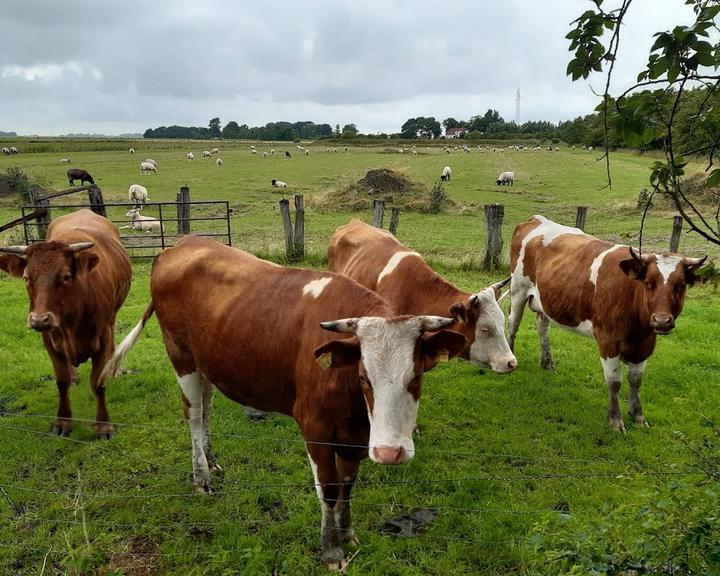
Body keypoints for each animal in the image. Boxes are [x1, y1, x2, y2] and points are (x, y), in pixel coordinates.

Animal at [0, 209, 132, 438]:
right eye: (26, 278)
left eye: (65, 276)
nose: (39, 319)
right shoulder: (49, 339)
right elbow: (61, 382)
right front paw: (62, 422)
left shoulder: (103, 336)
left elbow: (98, 382)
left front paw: (104, 425)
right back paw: (73, 376)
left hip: (114, 316)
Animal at [102, 234, 466, 568]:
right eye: (364, 377)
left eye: (416, 376)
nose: (390, 453)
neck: (354, 405)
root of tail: (180, 244)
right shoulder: (315, 428)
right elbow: (329, 489)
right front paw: (331, 550)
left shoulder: (356, 437)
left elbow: (347, 484)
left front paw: (346, 533)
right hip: (181, 355)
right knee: (192, 414)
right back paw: (201, 477)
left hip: (209, 361)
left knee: (205, 407)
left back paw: (212, 460)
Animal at [510, 216, 704, 432]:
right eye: (648, 283)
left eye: (680, 285)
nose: (662, 320)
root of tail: (535, 219)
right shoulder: (607, 341)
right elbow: (614, 382)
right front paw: (615, 420)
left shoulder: (645, 344)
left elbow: (636, 381)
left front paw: (638, 416)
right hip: (518, 290)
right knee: (512, 325)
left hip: (544, 301)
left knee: (543, 328)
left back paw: (547, 364)